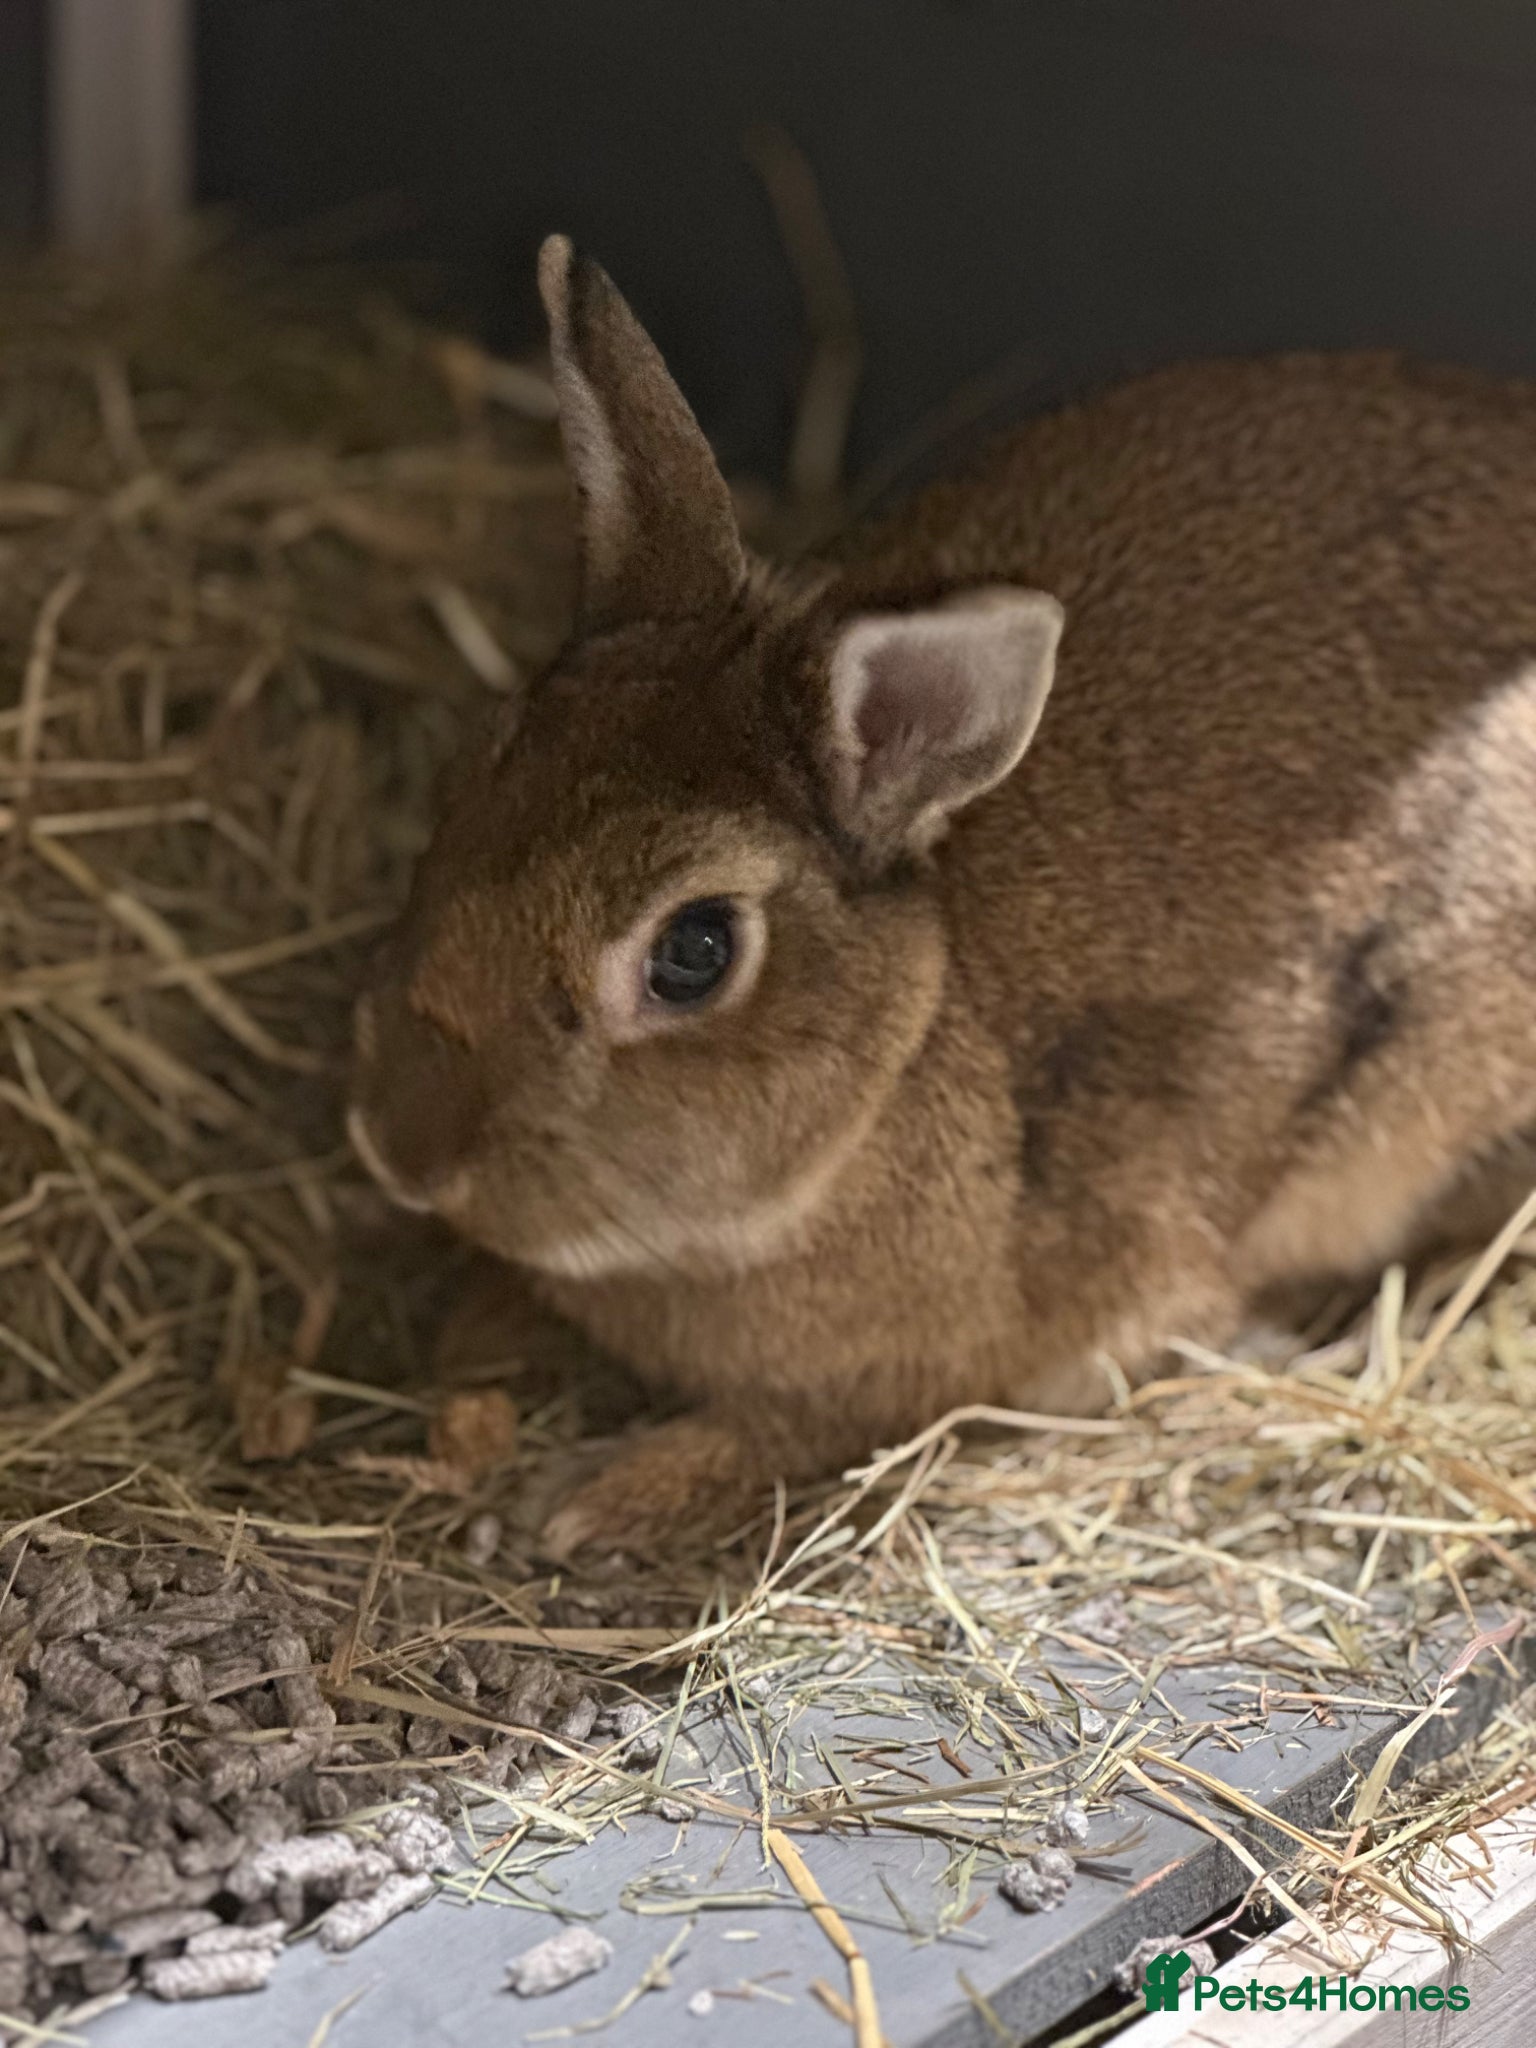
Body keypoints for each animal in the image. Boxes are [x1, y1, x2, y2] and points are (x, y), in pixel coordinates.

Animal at [348, 232, 1536, 1559]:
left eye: (694, 952)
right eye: (478, 766)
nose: (398, 1143)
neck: (899, 1056)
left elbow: (795, 1428)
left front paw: (594, 1491)